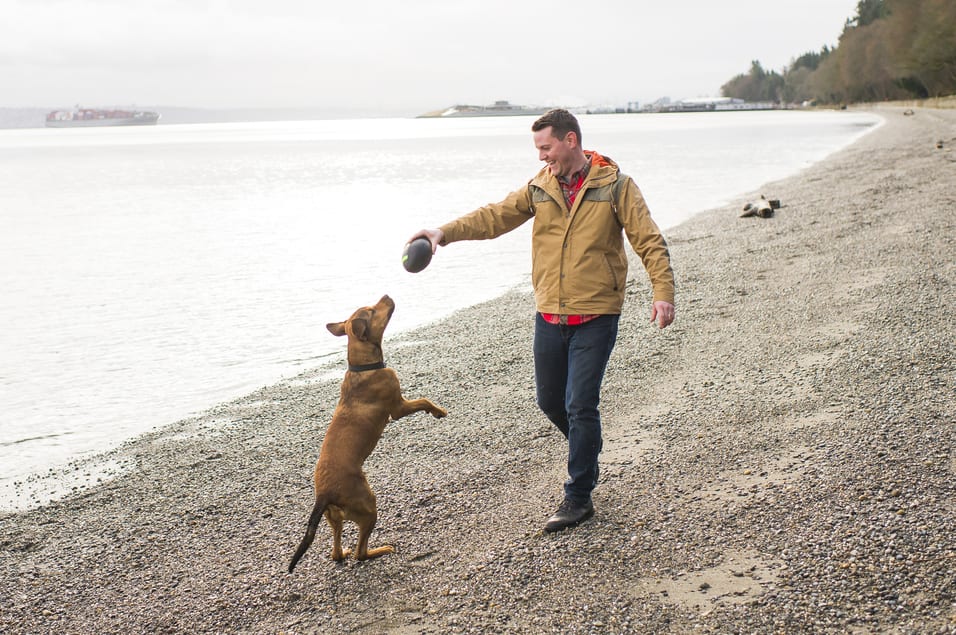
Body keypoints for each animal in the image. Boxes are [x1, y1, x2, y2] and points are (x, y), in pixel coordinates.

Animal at [288, 296, 448, 572]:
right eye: (373, 310)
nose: (387, 295)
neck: (363, 367)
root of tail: (324, 495)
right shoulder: (398, 408)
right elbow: (424, 400)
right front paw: (438, 411)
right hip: (368, 506)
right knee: (360, 554)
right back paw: (380, 550)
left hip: (335, 518)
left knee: (337, 552)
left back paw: (343, 552)